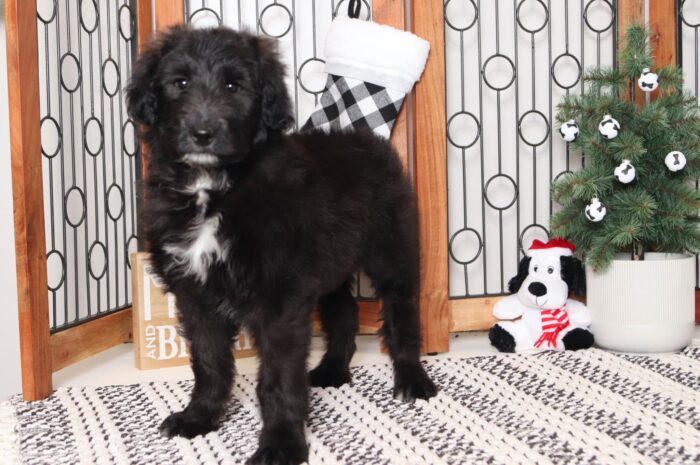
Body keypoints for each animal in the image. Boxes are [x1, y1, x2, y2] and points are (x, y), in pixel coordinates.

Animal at [125, 26, 432, 464]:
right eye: (179, 83)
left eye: (234, 86)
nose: (203, 133)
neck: (216, 188)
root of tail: (363, 135)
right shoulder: (195, 294)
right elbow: (208, 361)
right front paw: (200, 417)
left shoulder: (280, 299)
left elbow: (278, 376)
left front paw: (282, 443)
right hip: (331, 263)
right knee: (345, 312)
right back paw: (333, 370)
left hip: (392, 249)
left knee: (401, 310)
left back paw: (411, 378)